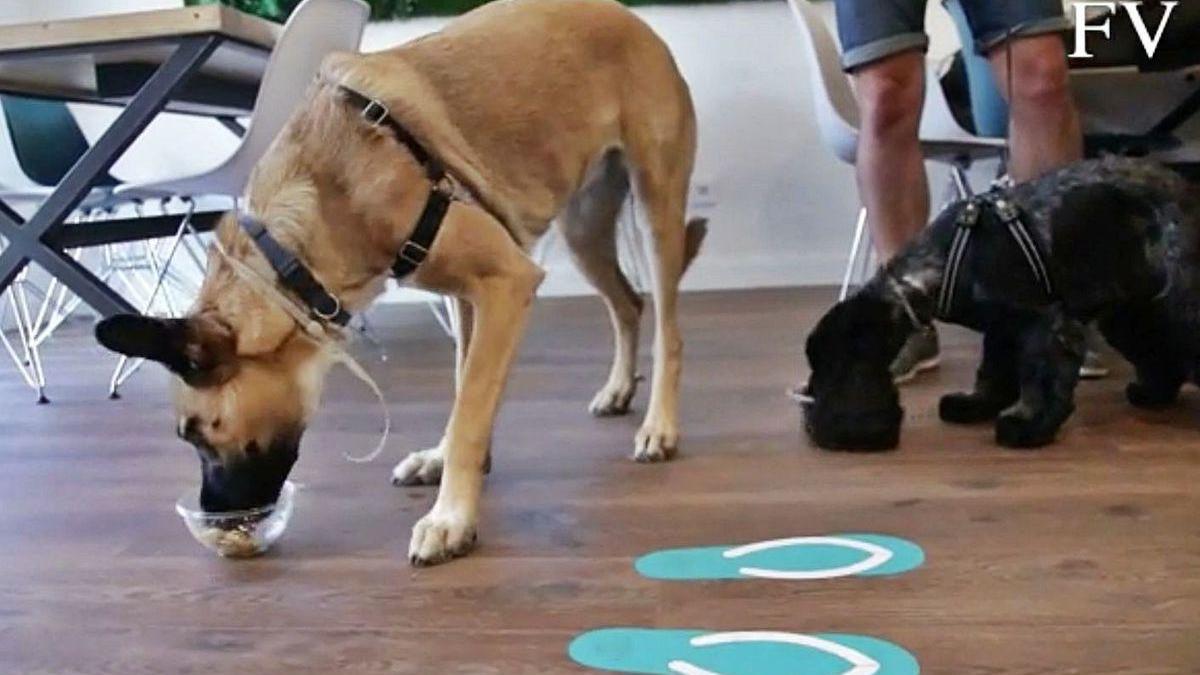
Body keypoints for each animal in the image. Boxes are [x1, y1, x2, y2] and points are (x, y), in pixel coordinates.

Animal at [100, 0, 710, 562]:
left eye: (197, 434)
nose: (214, 519)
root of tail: (630, 18)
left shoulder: (506, 281)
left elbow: (470, 408)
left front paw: (452, 515)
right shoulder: (473, 296)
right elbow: (466, 388)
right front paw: (445, 462)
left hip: (655, 208)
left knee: (671, 328)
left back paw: (659, 425)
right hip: (584, 229)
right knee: (627, 304)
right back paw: (618, 389)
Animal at [801, 157, 1200, 449]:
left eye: (827, 366)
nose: (809, 418)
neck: (937, 264)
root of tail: (1186, 188)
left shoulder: (1045, 324)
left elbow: (1040, 380)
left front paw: (1027, 425)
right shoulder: (1002, 328)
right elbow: (992, 372)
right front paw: (976, 404)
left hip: (1177, 302)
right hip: (1133, 313)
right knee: (1159, 356)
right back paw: (1151, 393)